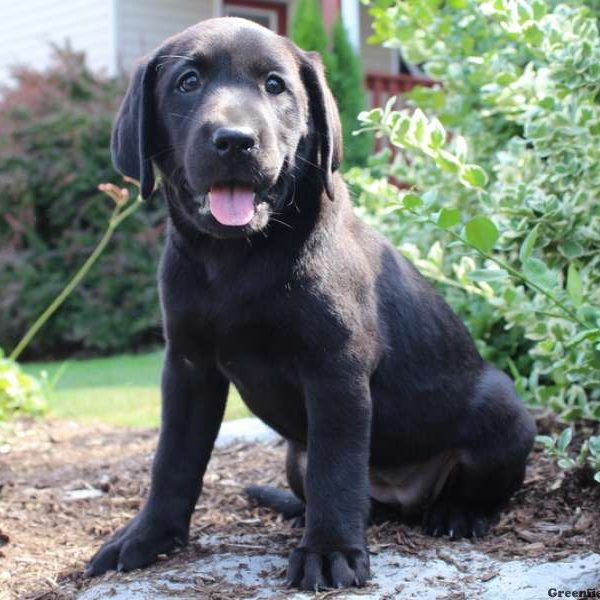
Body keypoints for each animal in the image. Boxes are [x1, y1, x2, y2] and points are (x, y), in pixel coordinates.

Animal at [84, 17, 536, 592]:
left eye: (275, 86)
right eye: (188, 82)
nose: (235, 141)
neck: (238, 258)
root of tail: (402, 497)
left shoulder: (334, 368)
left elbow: (336, 466)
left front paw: (330, 551)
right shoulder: (187, 367)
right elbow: (173, 461)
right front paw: (147, 537)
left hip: (506, 411)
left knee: (475, 487)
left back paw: (457, 512)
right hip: (292, 456)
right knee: (346, 496)